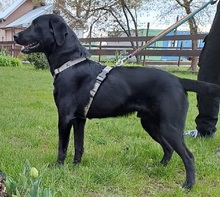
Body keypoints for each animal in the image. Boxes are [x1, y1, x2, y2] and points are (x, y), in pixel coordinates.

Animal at [13, 13, 220, 189]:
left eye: (35, 25)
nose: (14, 35)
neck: (70, 63)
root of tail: (178, 80)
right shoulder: (79, 119)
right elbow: (79, 145)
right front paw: (76, 166)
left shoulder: (65, 117)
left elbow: (62, 147)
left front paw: (58, 167)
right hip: (151, 124)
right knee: (168, 148)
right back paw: (159, 167)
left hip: (170, 127)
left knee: (188, 156)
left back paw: (188, 185)